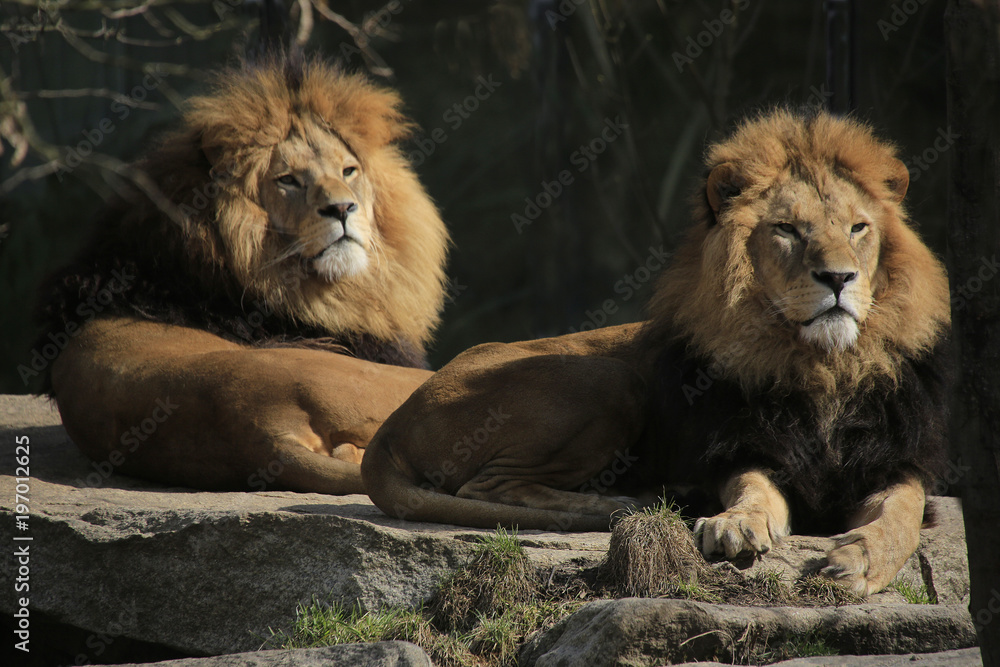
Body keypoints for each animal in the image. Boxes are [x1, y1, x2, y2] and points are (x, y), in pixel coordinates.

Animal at [362, 108, 951, 595]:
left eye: (858, 228)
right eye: (786, 229)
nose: (838, 278)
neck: (822, 364)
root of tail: (393, 424)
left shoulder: (895, 463)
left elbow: (900, 516)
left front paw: (858, 561)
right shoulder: (742, 449)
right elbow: (754, 490)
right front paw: (735, 523)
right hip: (608, 379)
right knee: (492, 486)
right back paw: (631, 502)